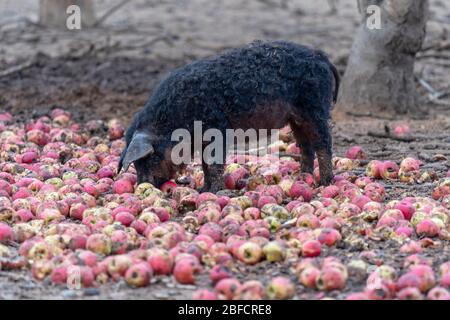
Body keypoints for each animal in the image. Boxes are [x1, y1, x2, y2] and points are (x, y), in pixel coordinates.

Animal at [118, 41, 340, 194]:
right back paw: (302, 176)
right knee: (305, 145)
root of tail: (321, 57)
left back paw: (324, 182)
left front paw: (213, 191)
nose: (143, 185)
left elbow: (214, 164)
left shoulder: (218, 129)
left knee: (324, 143)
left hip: (315, 108)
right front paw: (203, 190)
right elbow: (205, 165)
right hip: (297, 119)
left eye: (150, 157)